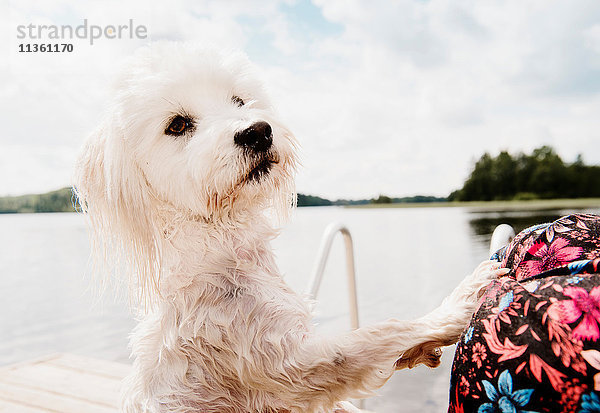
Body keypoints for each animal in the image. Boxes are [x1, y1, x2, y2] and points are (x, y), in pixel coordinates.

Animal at [75, 42, 506, 412]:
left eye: (238, 100)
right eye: (177, 125)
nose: (257, 131)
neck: (220, 246)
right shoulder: (288, 364)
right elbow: (379, 334)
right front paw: (458, 304)